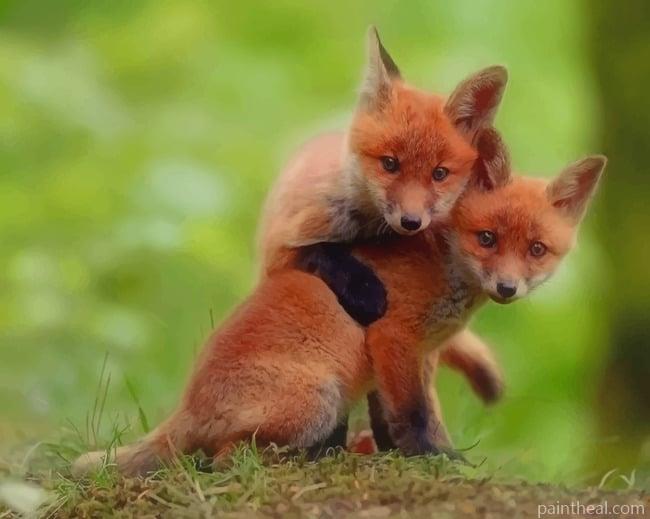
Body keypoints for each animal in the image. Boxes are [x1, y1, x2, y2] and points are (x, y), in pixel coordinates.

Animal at [72, 128, 606, 475]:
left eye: (536, 249)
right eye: (487, 238)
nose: (507, 289)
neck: (442, 264)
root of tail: (189, 402)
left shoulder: (420, 355)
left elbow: (409, 415)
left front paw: (416, 454)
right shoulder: (394, 338)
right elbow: (413, 416)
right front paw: (432, 460)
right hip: (319, 399)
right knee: (221, 459)